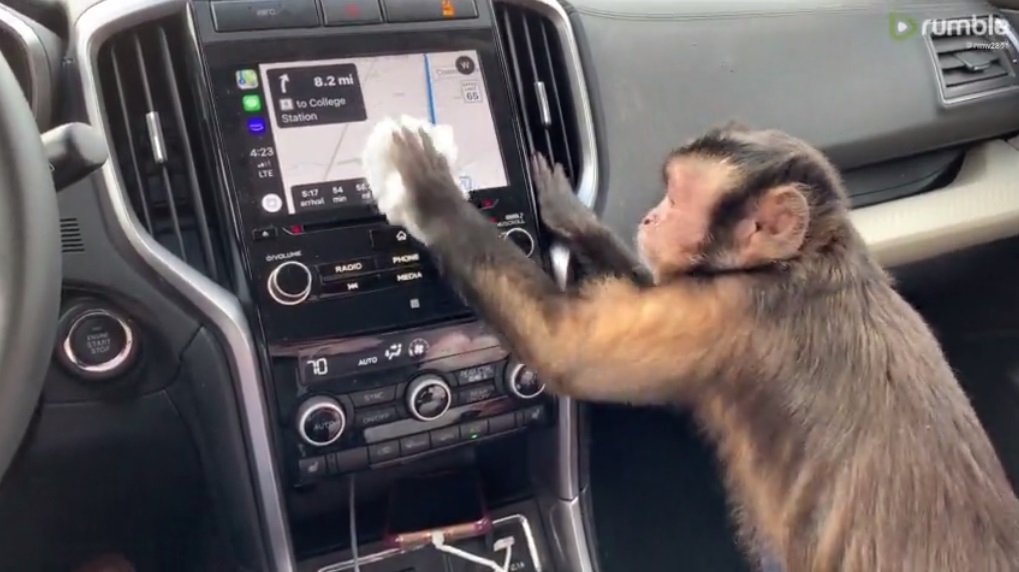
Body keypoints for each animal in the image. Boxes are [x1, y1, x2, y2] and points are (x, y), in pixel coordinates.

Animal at [360, 115, 1019, 571]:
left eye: (677, 198)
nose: (652, 217)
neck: (805, 261)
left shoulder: (733, 316)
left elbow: (564, 349)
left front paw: (424, 189)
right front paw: (574, 215)